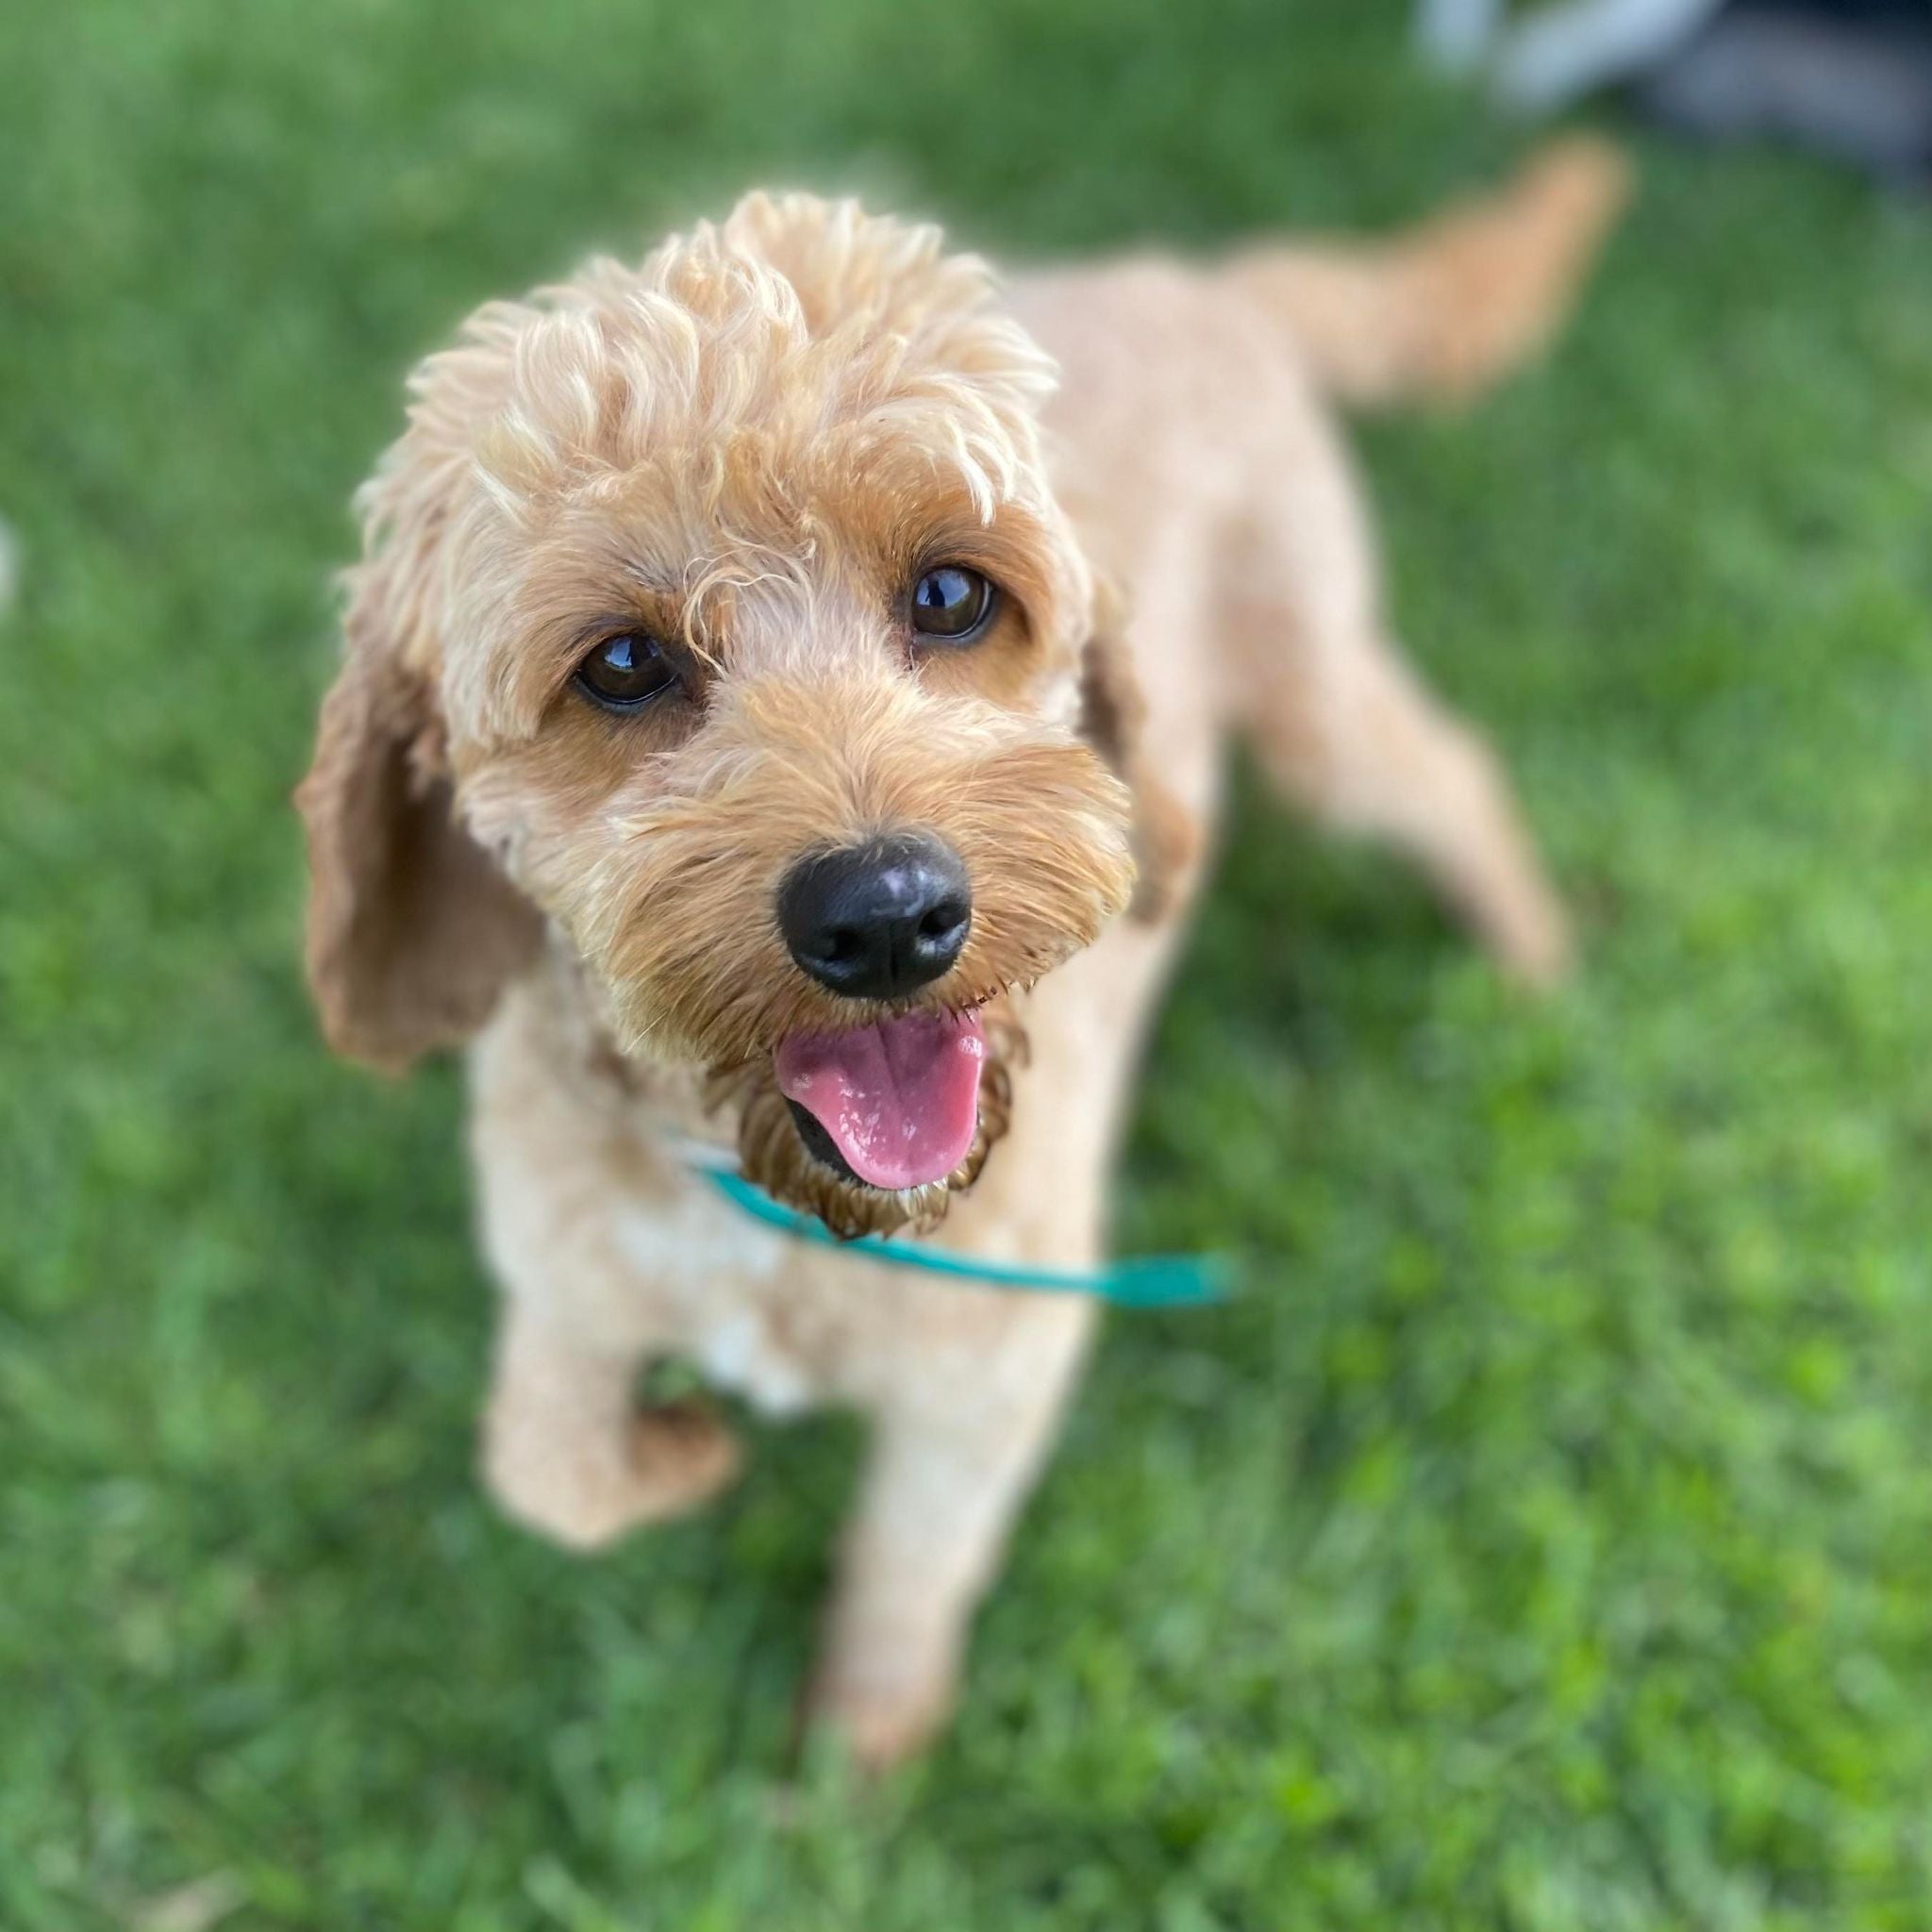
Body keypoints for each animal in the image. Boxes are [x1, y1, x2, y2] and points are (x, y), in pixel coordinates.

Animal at [301, 136, 1630, 1769]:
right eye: (618, 664)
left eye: (949, 594)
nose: (885, 914)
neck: (782, 1212)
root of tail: (1197, 278)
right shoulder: (565, 1284)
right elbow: (547, 1471)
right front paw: (682, 1451)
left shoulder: (989, 1374)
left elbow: (905, 1567)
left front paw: (853, 1764)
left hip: (1320, 704)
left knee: (1457, 777)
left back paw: (1534, 956)